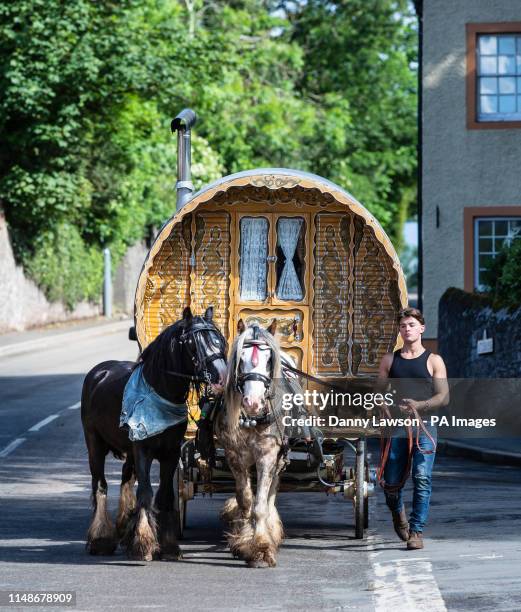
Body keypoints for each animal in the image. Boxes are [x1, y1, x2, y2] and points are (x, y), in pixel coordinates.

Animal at [80, 308, 226, 560]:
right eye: (194, 344)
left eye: (218, 339)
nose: (223, 374)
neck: (159, 393)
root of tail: (99, 372)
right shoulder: (143, 451)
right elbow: (146, 493)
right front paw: (144, 543)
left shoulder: (171, 454)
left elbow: (164, 495)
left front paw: (167, 546)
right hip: (94, 444)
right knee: (100, 485)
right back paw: (100, 539)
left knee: (126, 477)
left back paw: (124, 528)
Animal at [213, 320, 290, 568]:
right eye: (241, 358)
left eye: (268, 361)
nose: (253, 403)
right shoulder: (234, 455)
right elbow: (246, 500)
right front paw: (244, 540)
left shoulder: (267, 455)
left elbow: (260, 506)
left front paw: (262, 548)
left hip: (280, 457)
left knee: (272, 490)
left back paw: (272, 529)